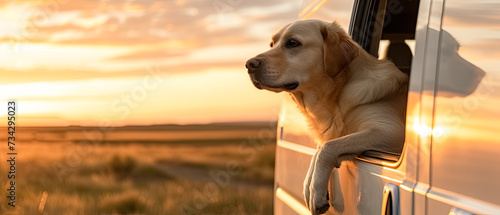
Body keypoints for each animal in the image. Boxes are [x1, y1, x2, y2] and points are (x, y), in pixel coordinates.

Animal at [245, 19, 406, 214]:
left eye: (292, 43)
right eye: (272, 44)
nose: (249, 64)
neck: (336, 94)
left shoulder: (392, 132)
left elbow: (327, 147)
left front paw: (315, 191)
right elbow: (321, 148)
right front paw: (310, 185)